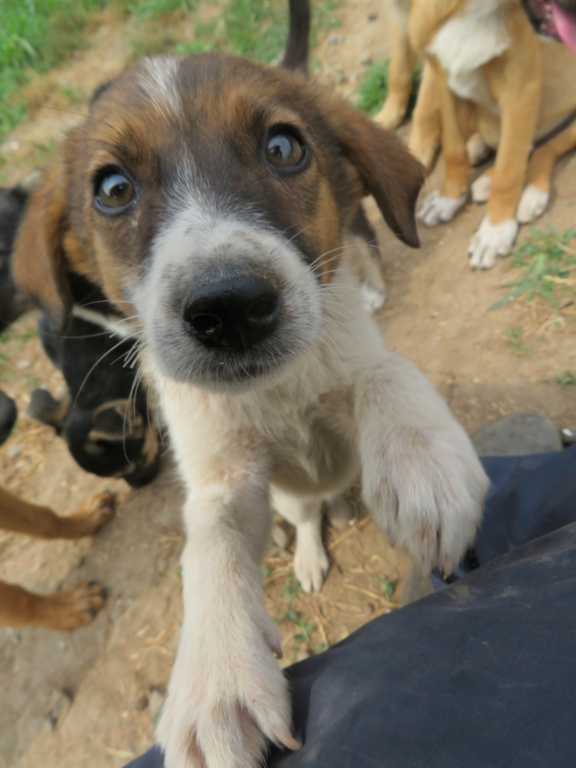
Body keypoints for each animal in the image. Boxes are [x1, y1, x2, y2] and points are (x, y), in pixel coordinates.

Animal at [13, 46, 488, 760]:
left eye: (284, 147)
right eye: (113, 189)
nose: (229, 306)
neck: (274, 389)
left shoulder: (353, 367)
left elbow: (383, 373)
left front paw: (423, 468)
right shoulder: (225, 478)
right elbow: (208, 547)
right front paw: (217, 679)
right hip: (287, 498)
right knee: (305, 514)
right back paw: (312, 547)